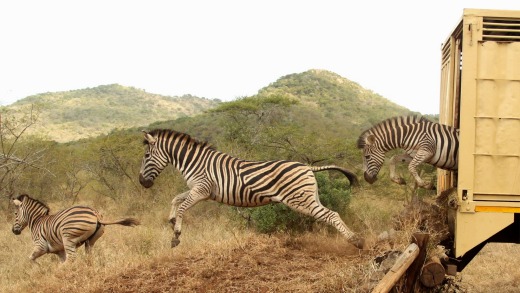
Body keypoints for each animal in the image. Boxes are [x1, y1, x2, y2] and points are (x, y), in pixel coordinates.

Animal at [11, 194, 140, 262]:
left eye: (15, 214)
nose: (13, 231)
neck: (37, 220)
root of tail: (96, 214)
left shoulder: (40, 246)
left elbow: (30, 259)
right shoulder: (59, 250)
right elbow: (60, 261)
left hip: (68, 238)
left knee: (72, 259)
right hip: (90, 241)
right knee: (88, 257)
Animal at [138, 129, 364, 248]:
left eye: (147, 156)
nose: (142, 182)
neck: (195, 162)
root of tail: (307, 166)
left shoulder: (202, 189)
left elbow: (183, 206)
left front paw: (176, 235)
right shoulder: (199, 190)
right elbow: (176, 199)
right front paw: (172, 220)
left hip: (300, 200)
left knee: (332, 215)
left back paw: (356, 241)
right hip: (309, 197)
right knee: (329, 214)